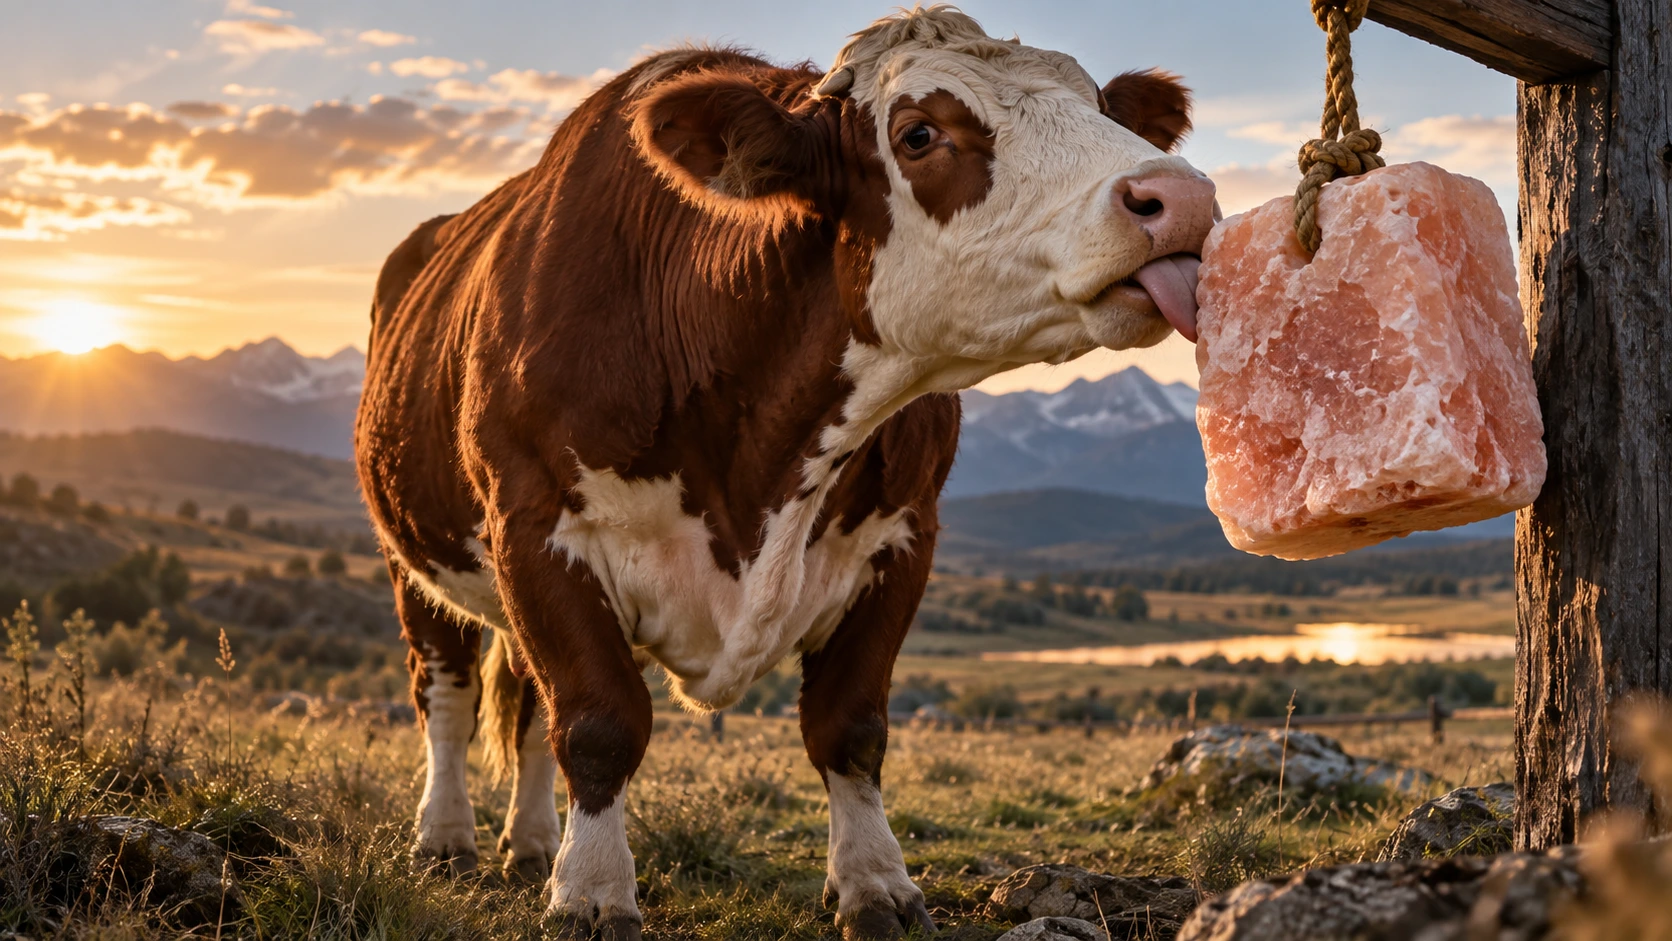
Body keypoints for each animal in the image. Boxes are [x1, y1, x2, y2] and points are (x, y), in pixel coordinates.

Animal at [356, 7, 1214, 939]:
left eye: (1103, 108)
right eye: (919, 133)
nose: (1183, 200)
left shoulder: (903, 536)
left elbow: (850, 724)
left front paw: (876, 884)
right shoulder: (535, 525)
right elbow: (597, 719)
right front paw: (590, 893)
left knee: (523, 701)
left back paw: (530, 843)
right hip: (411, 553)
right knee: (446, 690)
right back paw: (448, 839)